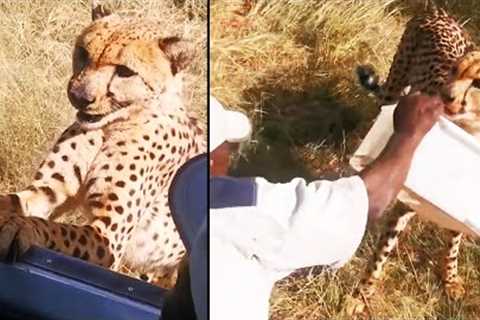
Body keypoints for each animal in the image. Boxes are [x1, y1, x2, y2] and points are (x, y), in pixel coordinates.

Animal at [0, 1, 204, 288]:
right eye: (84, 54)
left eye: (125, 71)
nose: (79, 96)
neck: (111, 127)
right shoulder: (47, 190)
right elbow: (14, 201)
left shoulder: (109, 235)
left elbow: (58, 230)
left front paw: (21, 226)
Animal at [344, 6, 480, 316]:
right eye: (454, 70)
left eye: (478, 83)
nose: (445, 96)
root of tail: (437, 10)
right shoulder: (406, 198)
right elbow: (381, 252)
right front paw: (361, 295)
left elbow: (454, 240)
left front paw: (450, 279)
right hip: (394, 87)